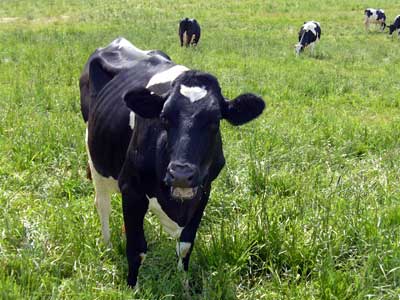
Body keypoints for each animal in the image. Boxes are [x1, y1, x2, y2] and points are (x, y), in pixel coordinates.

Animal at [79, 37, 264, 288]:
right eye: (164, 117)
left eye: (215, 120)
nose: (181, 175)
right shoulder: (131, 189)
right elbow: (136, 249)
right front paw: (132, 287)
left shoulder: (204, 191)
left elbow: (185, 245)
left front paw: (184, 283)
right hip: (95, 158)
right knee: (102, 204)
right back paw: (107, 246)